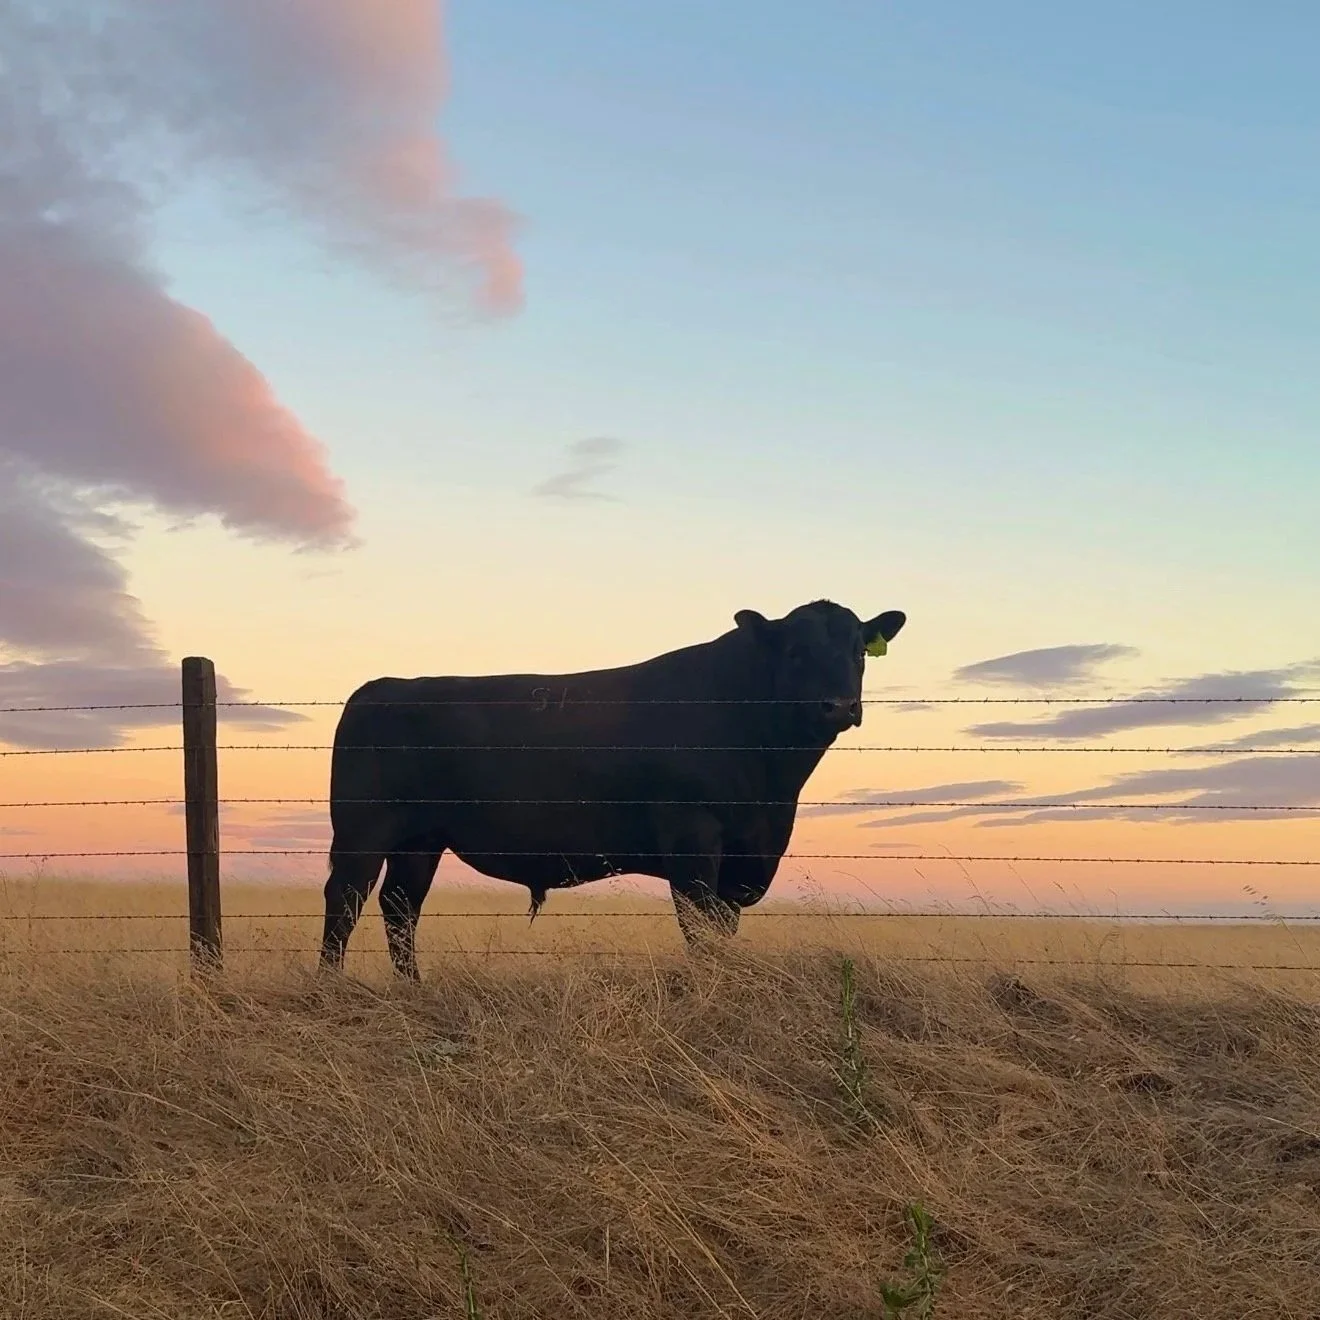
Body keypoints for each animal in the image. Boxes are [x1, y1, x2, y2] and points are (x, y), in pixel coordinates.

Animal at [319, 599, 906, 977]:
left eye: (859, 651)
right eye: (794, 652)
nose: (838, 706)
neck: (773, 786)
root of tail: (379, 688)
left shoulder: (746, 851)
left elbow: (723, 930)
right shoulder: (693, 838)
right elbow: (699, 929)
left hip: (420, 839)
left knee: (400, 906)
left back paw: (411, 989)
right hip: (363, 829)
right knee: (345, 899)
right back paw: (331, 988)